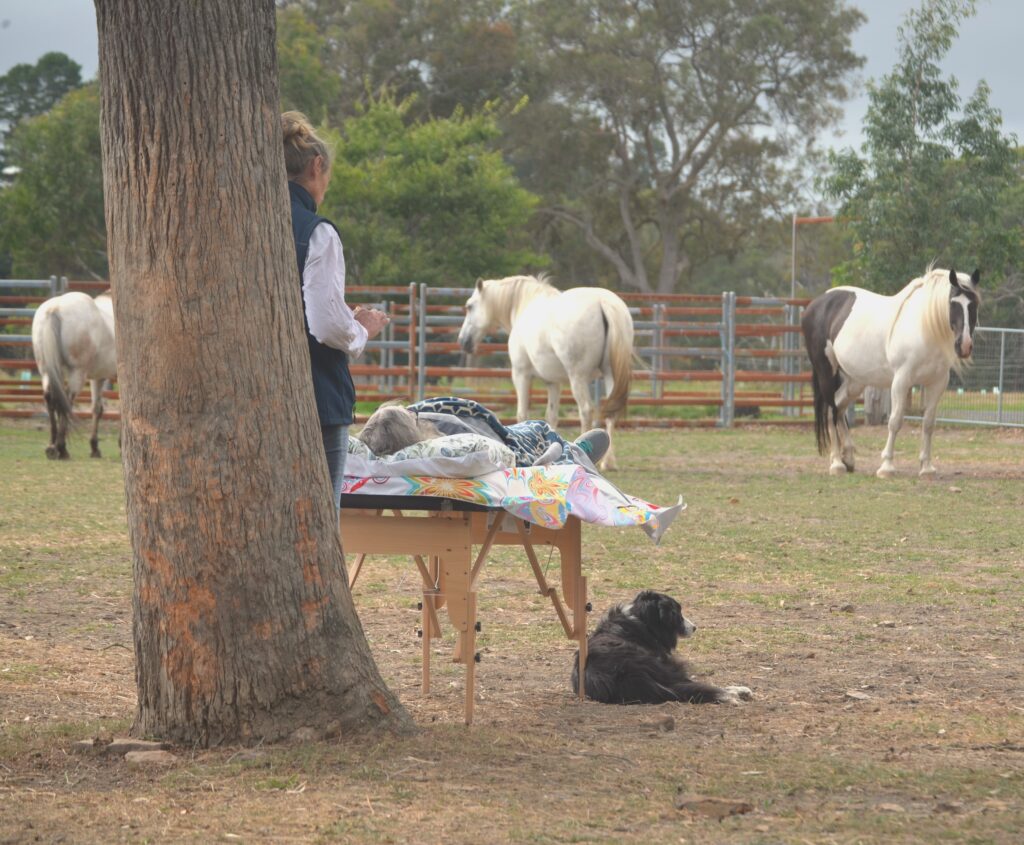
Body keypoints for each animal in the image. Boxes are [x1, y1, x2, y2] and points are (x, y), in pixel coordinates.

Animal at [31, 290, 117, 459]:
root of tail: (55, 308)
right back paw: (61, 449)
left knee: (50, 398)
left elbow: (97, 409)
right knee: (67, 400)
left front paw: (94, 448)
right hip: (77, 373)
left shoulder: (98, 378)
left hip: (46, 371)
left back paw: (51, 446)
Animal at [456, 275, 634, 470]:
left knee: (586, 410)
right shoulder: (553, 383)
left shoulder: (521, 374)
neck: (524, 304)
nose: (463, 341)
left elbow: (522, 414)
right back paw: (608, 462)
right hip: (610, 376)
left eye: (469, 306)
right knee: (611, 414)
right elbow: (551, 416)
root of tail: (602, 302)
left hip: (578, 377)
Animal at [801, 267, 980, 478]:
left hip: (855, 381)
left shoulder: (937, 383)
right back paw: (837, 463)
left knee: (837, 408)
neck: (924, 328)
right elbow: (895, 421)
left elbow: (928, 423)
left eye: (974, 304)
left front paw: (926, 468)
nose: (965, 346)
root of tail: (815, 304)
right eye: (953, 303)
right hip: (826, 371)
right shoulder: (901, 381)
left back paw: (849, 459)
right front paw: (887, 467)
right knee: (831, 409)